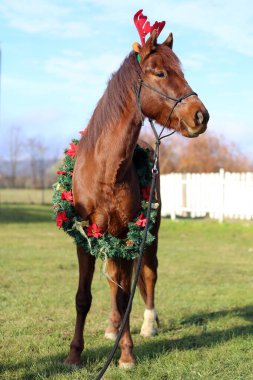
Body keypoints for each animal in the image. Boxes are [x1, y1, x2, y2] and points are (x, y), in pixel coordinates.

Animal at [64, 29, 209, 368]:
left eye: (182, 71)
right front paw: (75, 354)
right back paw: (111, 328)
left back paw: (147, 325)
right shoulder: (85, 237)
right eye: (160, 73)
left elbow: (124, 296)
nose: (200, 115)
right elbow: (84, 296)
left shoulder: (126, 235)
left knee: (147, 275)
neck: (106, 171)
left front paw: (127, 353)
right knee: (113, 280)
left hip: (149, 236)